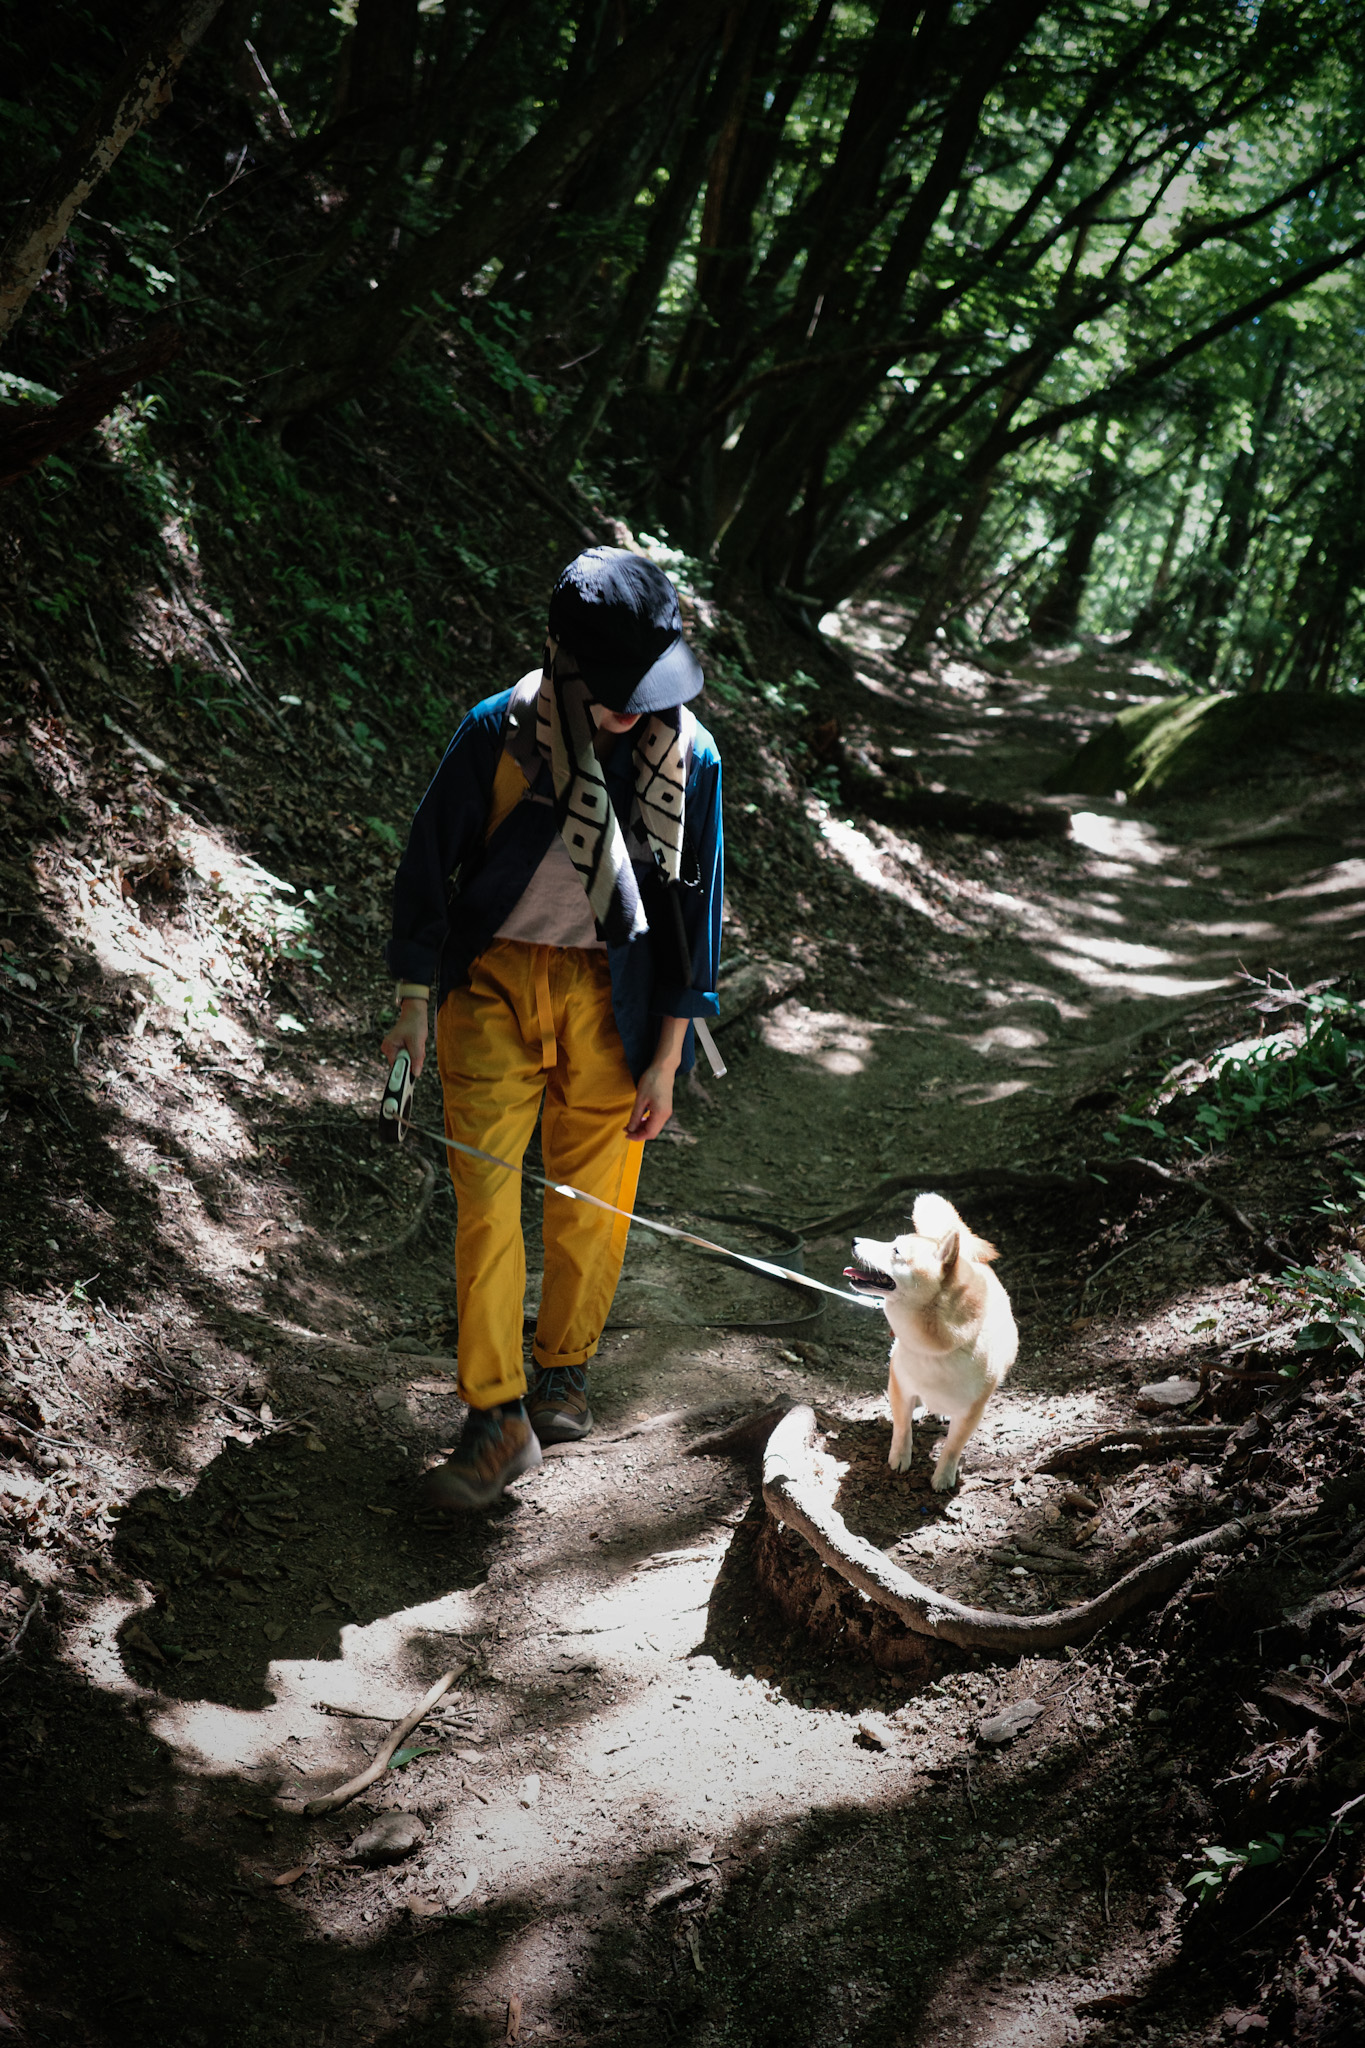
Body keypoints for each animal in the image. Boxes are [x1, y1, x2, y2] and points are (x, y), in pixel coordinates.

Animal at [846, 1192, 1017, 1491]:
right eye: (893, 1243)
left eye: (896, 1251)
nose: (854, 1240)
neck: (934, 1350)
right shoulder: (900, 1383)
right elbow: (902, 1427)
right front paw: (899, 1457)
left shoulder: (971, 1412)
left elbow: (952, 1447)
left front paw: (944, 1476)